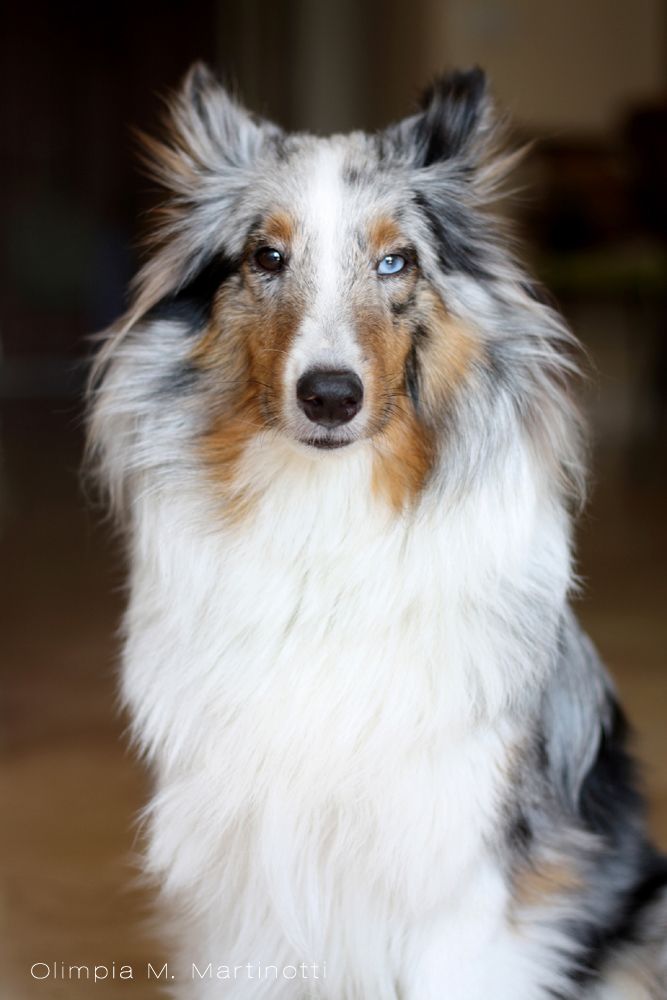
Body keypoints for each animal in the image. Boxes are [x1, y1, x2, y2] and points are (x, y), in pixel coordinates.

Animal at [88, 64, 667, 1000]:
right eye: (266, 258)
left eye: (396, 261)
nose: (329, 396)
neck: (329, 521)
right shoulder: (245, 884)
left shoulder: (461, 877)